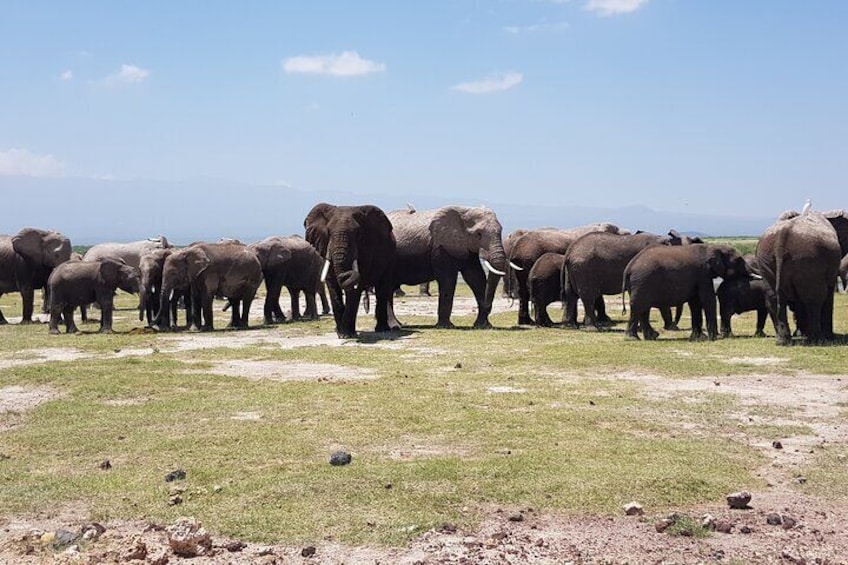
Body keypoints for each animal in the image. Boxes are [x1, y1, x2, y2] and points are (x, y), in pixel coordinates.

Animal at [304, 202, 398, 338]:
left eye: (358, 233)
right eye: (328, 232)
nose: (345, 274)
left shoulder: (366, 250)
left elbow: (356, 287)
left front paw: (347, 334)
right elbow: (332, 284)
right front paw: (340, 333)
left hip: (390, 257)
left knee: (382, 288)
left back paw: (382, 329)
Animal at [756, 209, 848, 344]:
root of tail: (781, 242)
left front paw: (801, 333)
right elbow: (827, 294)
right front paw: (829, 336)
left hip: (766, 259)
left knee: (773, 299)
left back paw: (783, 341)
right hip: (808, 259)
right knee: (814, 299)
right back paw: (817, 338)